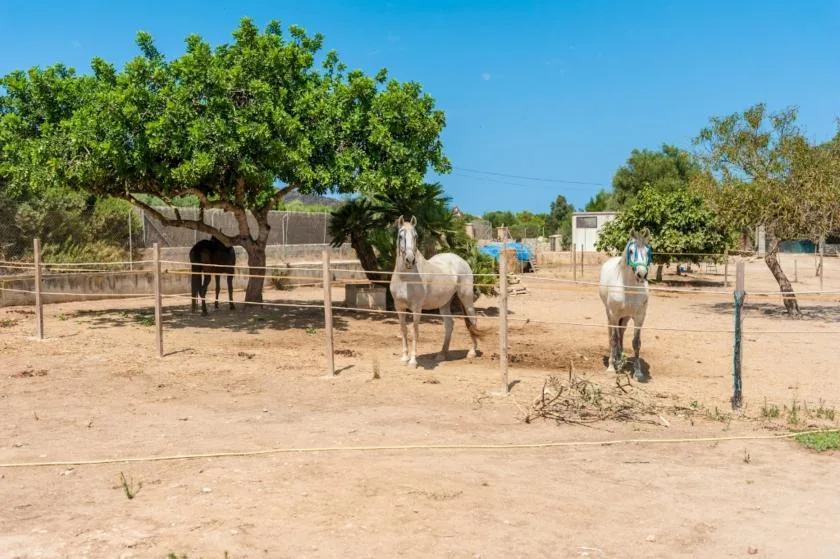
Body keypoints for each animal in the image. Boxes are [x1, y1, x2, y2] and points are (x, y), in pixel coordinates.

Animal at [389, 216, 483, 368]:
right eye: (400, 236)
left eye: (416, 236)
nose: (410, 259)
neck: (406, 278)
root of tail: (461, 260)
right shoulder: (399, 307)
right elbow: (403, 330)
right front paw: (404, 357)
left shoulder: (416, 308)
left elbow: (415, 331)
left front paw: (413, 361)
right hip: (444, 303)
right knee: (449, 325)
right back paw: (442, 354)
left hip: (466, 298)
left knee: (472, 320)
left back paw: (472, 352)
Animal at [598, 230, 652, 381]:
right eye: (631, 251)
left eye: (648, 251)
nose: (642, 274)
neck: (628, 289)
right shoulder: (614, 315)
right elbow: (614, 339)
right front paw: (611, 368)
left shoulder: (639, 317)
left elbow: (636, 342)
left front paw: (638, 372)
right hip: (610, 315)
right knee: (612, 334)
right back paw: (614, 360)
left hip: (626, 317)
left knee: (621, 333)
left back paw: (620, 358)